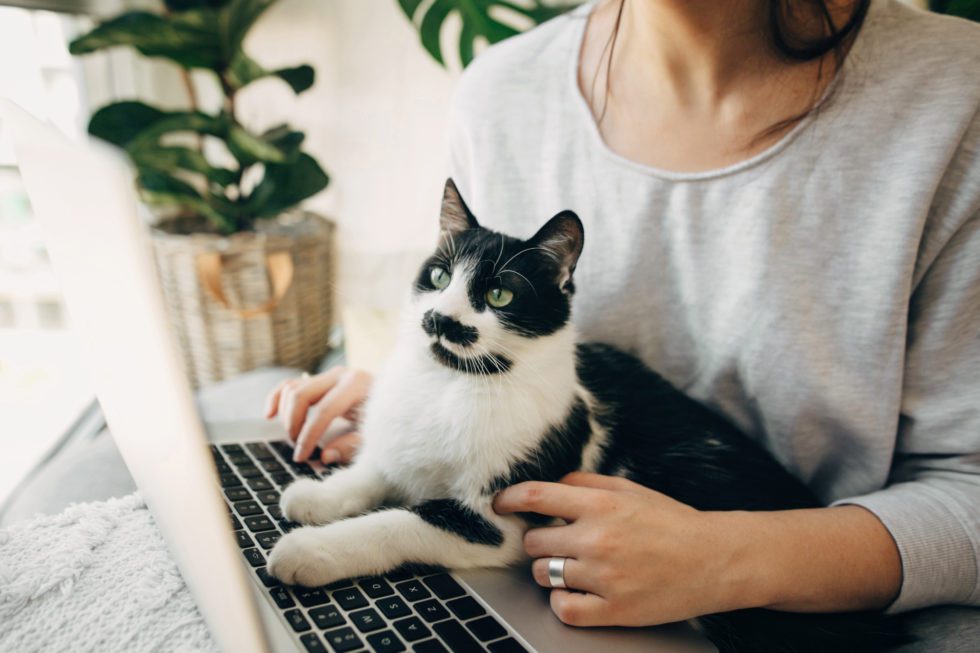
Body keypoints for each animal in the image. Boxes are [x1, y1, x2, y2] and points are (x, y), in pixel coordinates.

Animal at [266, 178, 904, 652]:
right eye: (440, 276)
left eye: (499, 295)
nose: (440, 319)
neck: (453, 383)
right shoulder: (404, 441)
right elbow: (377, 471)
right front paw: (317, 496)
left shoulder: (501, 522)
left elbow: (401, 521)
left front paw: (309, 551)